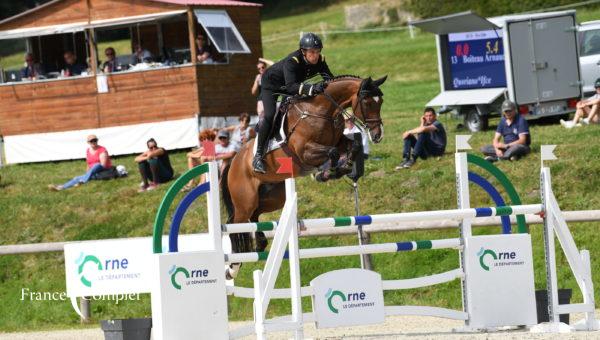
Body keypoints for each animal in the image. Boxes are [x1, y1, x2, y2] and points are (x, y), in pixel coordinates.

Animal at [223, 75, 386, 278]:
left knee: (254, 216)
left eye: (381, 102)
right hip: (245, 200)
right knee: (234, 224)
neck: (322, 110)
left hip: (274, 196)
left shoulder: (339, 141)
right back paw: (233, 267)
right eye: (367, 102)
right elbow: (332, 152)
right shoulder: (305, 151)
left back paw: (259, 243)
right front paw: (325, 173)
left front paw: (341, 168)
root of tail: (233, 160)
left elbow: (353, 147)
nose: (378, 135)